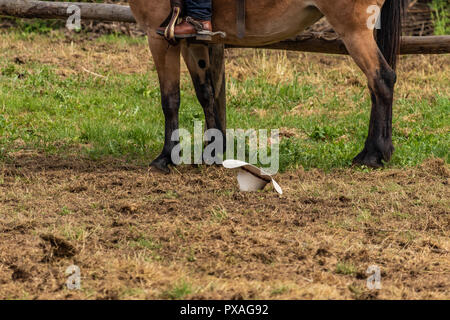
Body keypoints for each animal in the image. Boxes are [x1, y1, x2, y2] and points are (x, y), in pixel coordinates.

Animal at [129, 0, 408, 174]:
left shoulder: (159, 38)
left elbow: (170, 100)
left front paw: (166, 157)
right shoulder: (191, 42)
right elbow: (206, 94)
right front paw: (213, 152)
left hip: (354, 31)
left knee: (382, 80)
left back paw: (373, 156)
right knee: (376, 86)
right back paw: (371, 152)